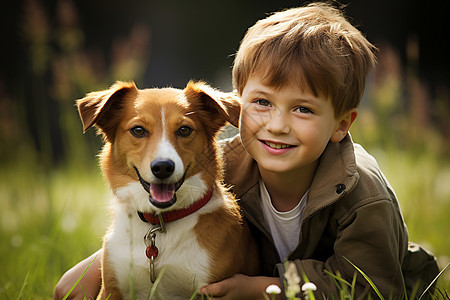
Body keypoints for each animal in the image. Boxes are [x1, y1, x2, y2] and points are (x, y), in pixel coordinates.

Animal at [77, 81, 258, 298]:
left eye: (184, 130)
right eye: (138, 130)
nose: (163, 167)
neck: (160, 221)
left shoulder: (211, 289)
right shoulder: (112, 288)